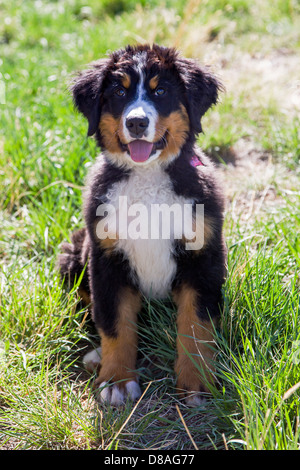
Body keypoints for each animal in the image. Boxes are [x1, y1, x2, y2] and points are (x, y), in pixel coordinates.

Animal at [59, 45, 226, 408]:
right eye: (120, 93)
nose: (136, 122)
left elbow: (196, 326)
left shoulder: (202, 256)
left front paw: (197, 383)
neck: (147, 177)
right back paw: (95, 356)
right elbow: (114, 324)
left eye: (160, 91)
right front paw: (117, 381)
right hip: (74, 254)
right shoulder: (106, 258)